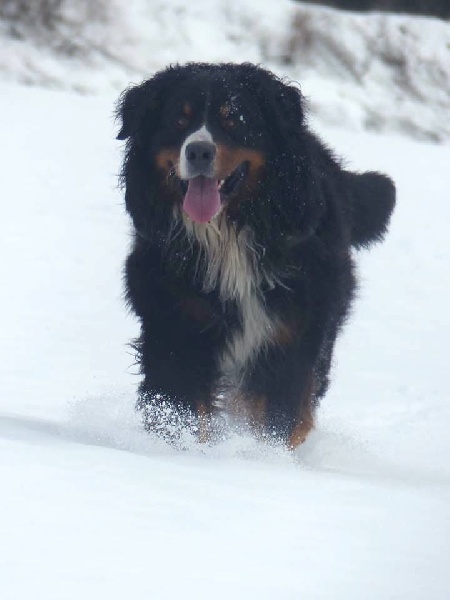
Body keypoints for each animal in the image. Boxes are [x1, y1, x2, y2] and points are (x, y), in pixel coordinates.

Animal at [115, 63, 394, 448]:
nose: (198, 151)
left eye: (234, 120)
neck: (229, 235)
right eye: (178, 120)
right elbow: (181, 409)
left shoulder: (289, 335)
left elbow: (279, 418)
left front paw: (264, 457)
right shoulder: (177, 324)